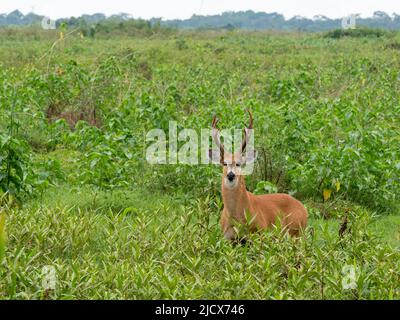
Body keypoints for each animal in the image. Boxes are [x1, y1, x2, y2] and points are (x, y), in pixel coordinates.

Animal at [211, 109, 308, 240]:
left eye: (239, 164)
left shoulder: (260, 232)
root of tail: (304, 209)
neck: (237, 218)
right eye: (224, 163)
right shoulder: (226, 237)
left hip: (296, 231)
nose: (231, 175)